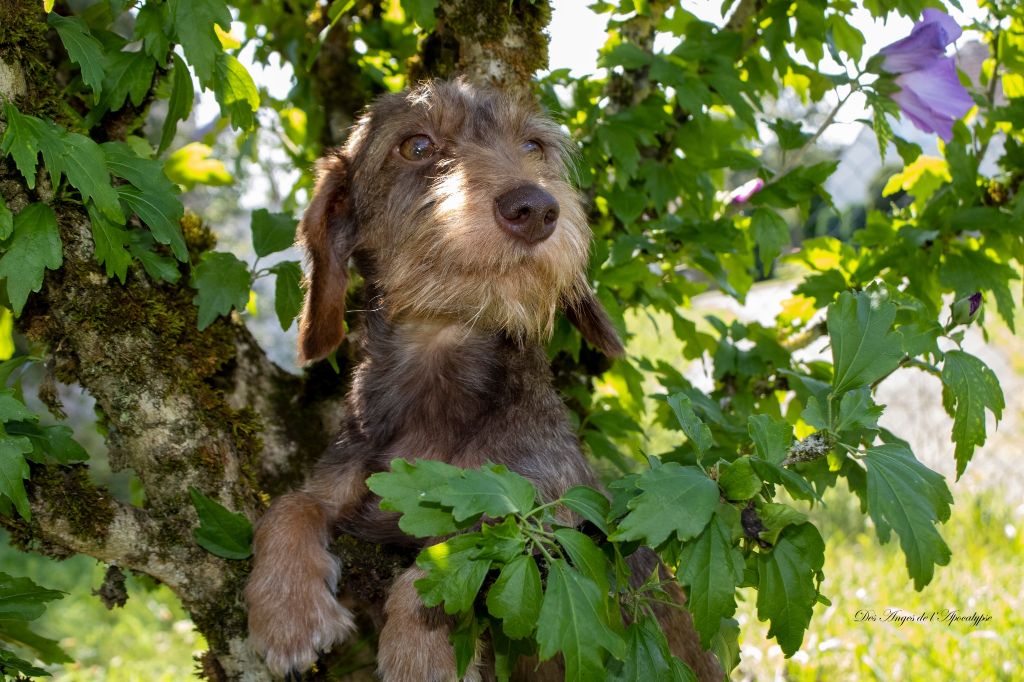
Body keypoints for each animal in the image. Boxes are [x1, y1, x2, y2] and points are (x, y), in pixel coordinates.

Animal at [243, 80, 720, 679]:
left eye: (534, 146)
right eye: (417, 146)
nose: (535, 208)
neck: (440, 370)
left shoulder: (555, 519)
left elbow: (455, 553)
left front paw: (422, 657)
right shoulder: (340, 485)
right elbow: (290, 505)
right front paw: (287, 611)